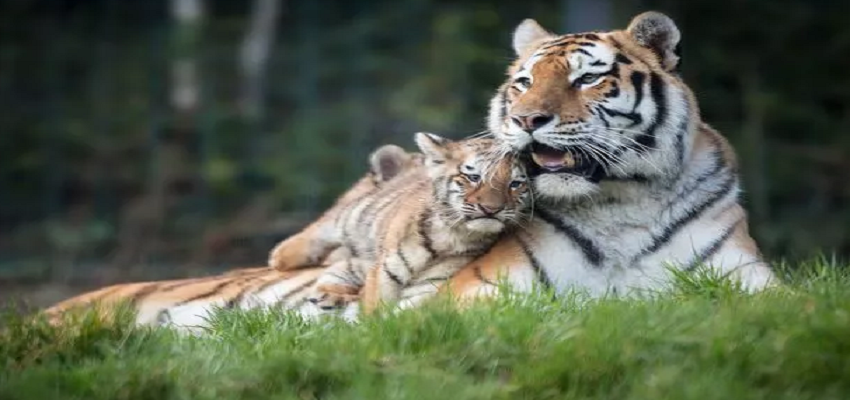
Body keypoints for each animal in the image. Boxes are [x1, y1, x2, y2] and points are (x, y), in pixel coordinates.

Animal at [271, 132, 529, 312]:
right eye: (474, 177)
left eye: (515, 184)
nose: (492, 209)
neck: (453, 235)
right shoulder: (386, 270)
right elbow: (375, 307)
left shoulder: (433, 282)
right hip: (356, 213)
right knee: (327, 224)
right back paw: (281, 258)